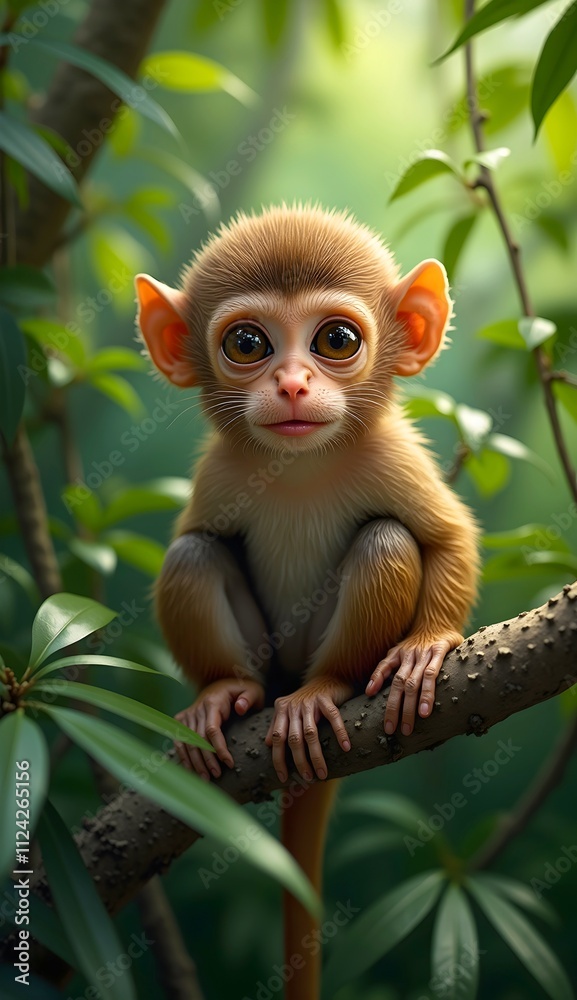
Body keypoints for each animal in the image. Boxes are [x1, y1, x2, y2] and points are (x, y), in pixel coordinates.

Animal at [135, 204, 479, 1000]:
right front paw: (211, 691)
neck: (298, 467)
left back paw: (325, 689)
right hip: (269, 662)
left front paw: (425, 648)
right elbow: (193, 539)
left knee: (385, 540)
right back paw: (230, 693)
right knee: (194, 555)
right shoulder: (221, 471)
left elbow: (446, 542)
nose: (292, 385)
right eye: (247, 344)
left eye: (335, 341)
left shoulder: (393, 456)